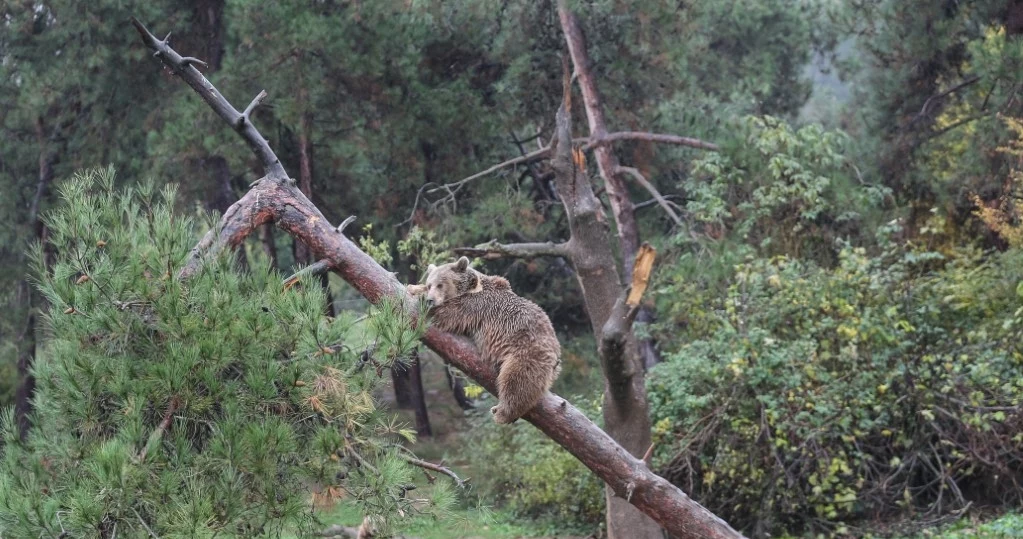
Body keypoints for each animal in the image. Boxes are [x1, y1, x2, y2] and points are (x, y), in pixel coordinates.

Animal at [405, 258, 560, 425]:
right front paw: (413, 287)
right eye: (429, 284)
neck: (473, 287)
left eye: (440, 284)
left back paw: (501, 412)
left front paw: (419, 294)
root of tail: (556, 356)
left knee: (516, 382)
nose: (431, 300)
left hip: (527, 352)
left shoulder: (476, 306)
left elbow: (447, 313)